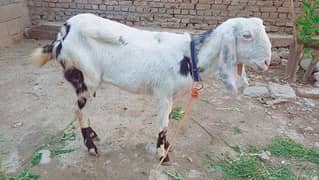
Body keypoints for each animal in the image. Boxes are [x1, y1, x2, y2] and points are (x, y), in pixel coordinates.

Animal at [31, 13, 272, 162]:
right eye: (246, 35)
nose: (267, 62)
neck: (189, 56)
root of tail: (63, 34)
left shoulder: (172, 96)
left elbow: (168, 122)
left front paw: (167, 147)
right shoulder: (164, 94)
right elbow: (163, 124)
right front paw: (162, 156)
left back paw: (94, 135)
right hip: (84, 77)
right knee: (78, 110)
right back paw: (91, 147)